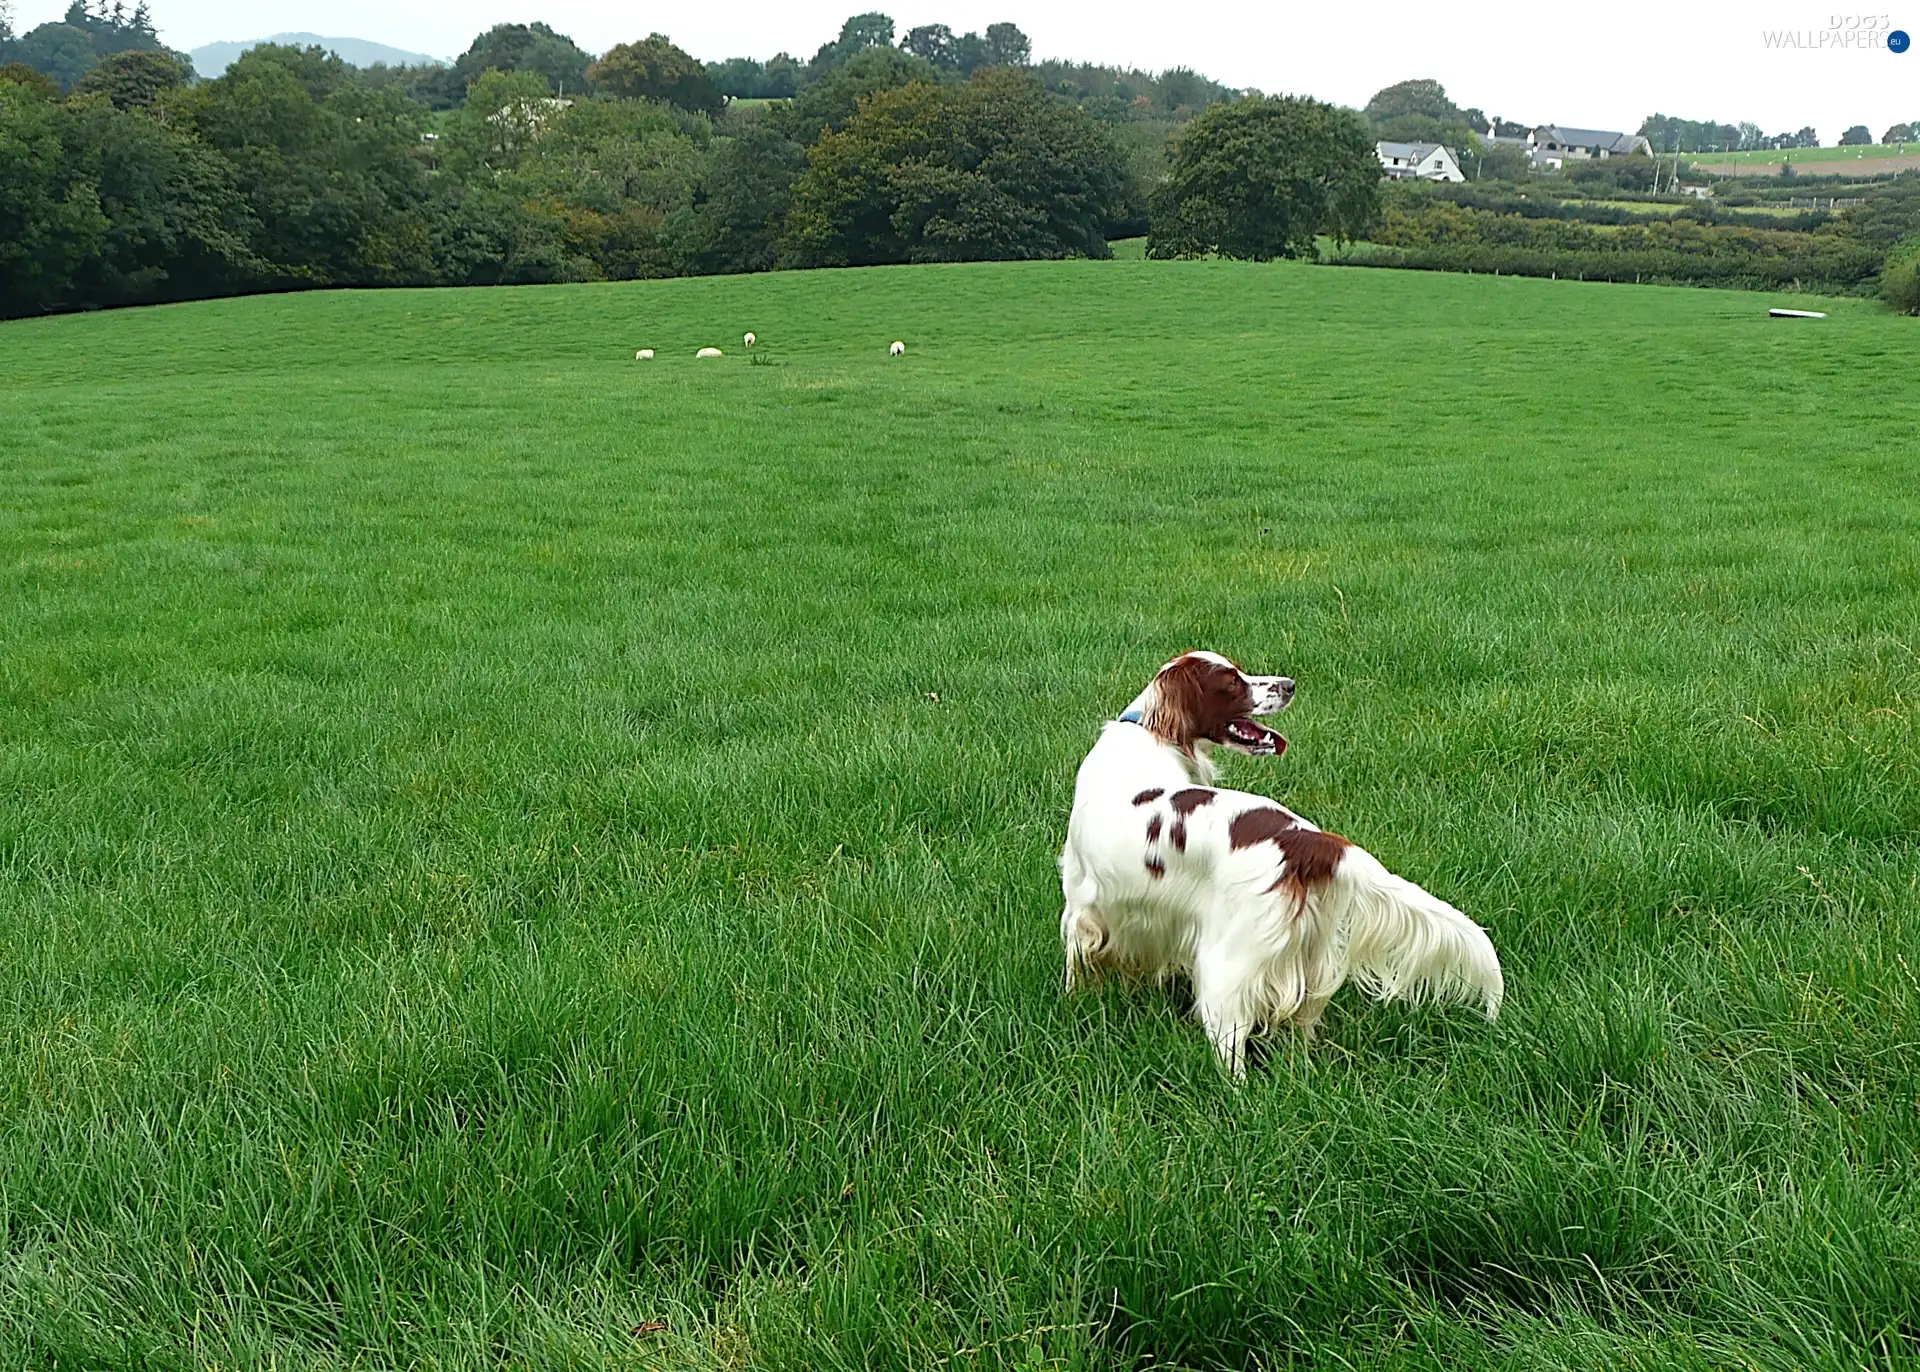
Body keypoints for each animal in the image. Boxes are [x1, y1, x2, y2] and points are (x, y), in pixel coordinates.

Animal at [1067, 648, 1497, 1082]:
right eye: (1231, 681)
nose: (1289, 685)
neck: (1146, 735)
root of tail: (1308, 840)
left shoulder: (1082, 909)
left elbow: (1076, 967)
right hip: (1310, 957)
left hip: (1225, 967)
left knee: (1232, 1052)